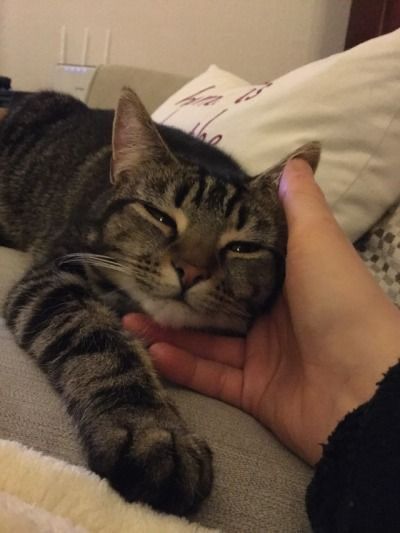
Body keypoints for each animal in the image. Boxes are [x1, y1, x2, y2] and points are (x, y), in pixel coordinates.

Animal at [0, 86, 320, 512]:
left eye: (242, 247)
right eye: (160, 216)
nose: (191, 270)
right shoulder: (57, 272)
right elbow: (103, 346)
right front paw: (152, 432)